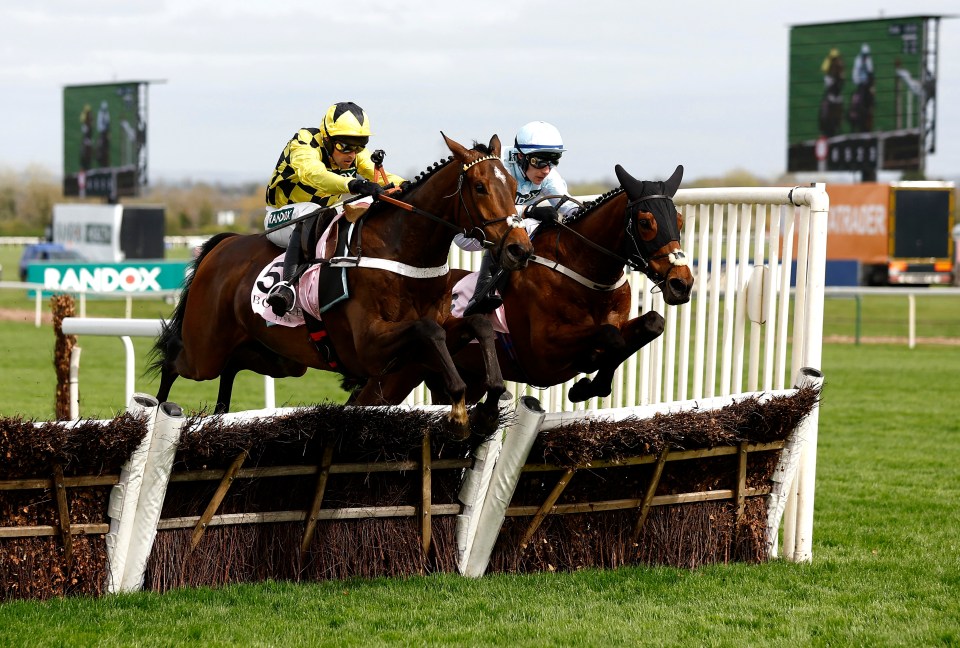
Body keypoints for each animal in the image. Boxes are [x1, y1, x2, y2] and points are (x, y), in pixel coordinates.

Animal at [149, 133, 532, 430]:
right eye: (480, 187)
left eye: (515, 186)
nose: (519, 248)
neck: (401, 250)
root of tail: (223, 244)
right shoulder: (368, 347)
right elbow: (428, 330)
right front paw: (458, 407)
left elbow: (479, 323)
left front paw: (490, 401)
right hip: (204, 351)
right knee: (173, 361)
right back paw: (156, 410)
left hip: (280, 358)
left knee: (232, 365)